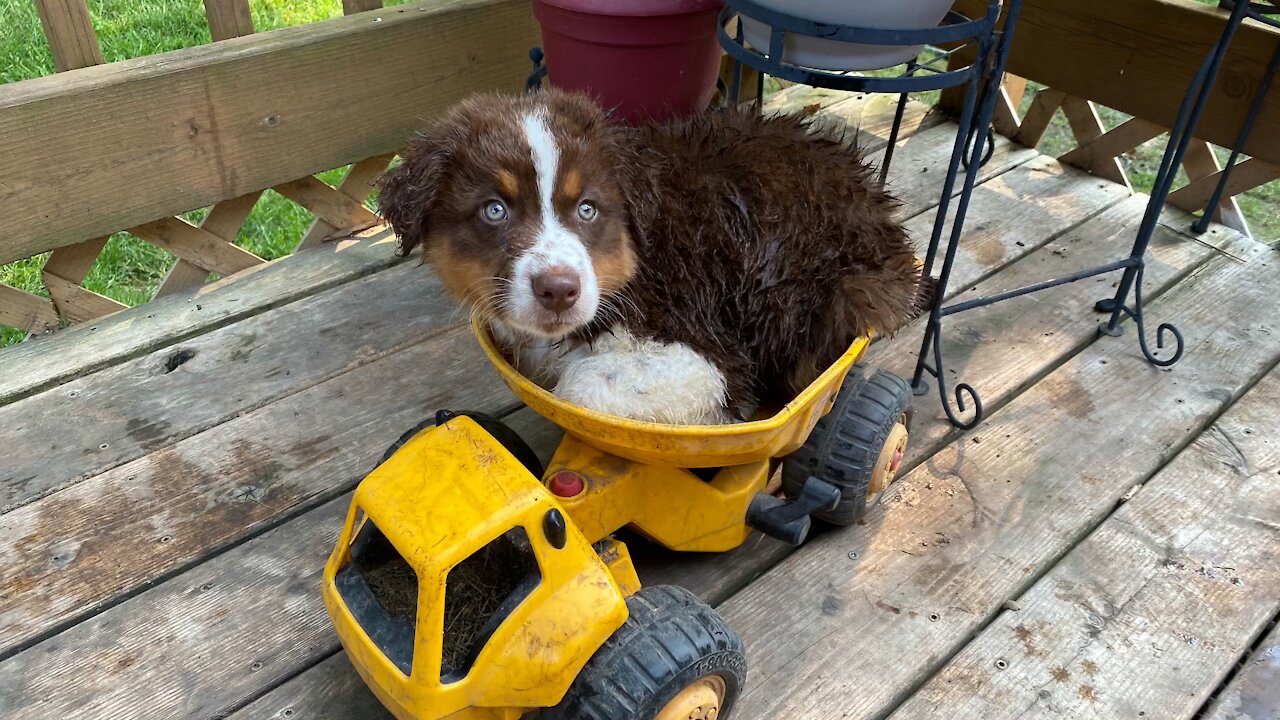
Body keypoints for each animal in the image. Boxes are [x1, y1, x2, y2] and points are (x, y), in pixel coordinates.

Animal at [373, 90, 926, 425]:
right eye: (494, 210)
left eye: (588, 208)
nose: (558, 290)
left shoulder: (703, 340)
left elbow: (581, 387)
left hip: (796, 291)